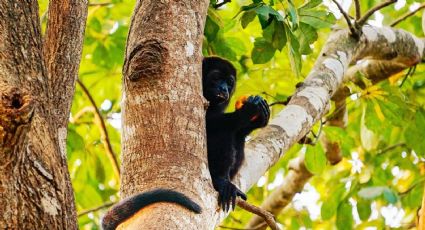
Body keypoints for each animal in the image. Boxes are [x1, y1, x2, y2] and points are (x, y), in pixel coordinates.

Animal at [204, 56, 270, 211]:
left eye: (229, 83)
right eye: (216, 78)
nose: (224, 89)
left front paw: (258, 121)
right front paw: (247, 111)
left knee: (237, 137)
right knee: (223, 132)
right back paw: (220, 181)